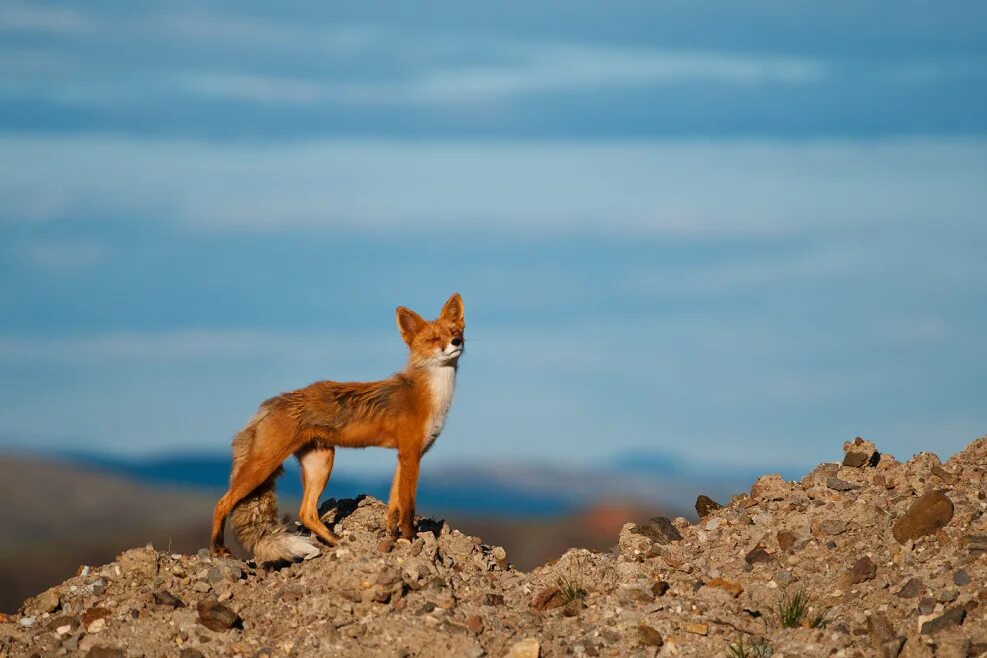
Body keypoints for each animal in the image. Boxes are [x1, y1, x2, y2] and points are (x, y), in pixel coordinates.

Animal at [210, 292, 466, 560]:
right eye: (434, 338)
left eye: (455, 331)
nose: (456, 341)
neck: (430, 396)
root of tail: (272, 402)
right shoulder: (411, 454)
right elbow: (407, 505)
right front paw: (410, 537)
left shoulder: (404, 456)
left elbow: (394, 504)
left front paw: (392, 536)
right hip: (264, 465)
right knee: (222, 503)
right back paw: (218, 548)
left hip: (320, 463)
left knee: (307, 513)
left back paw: (336, 542)